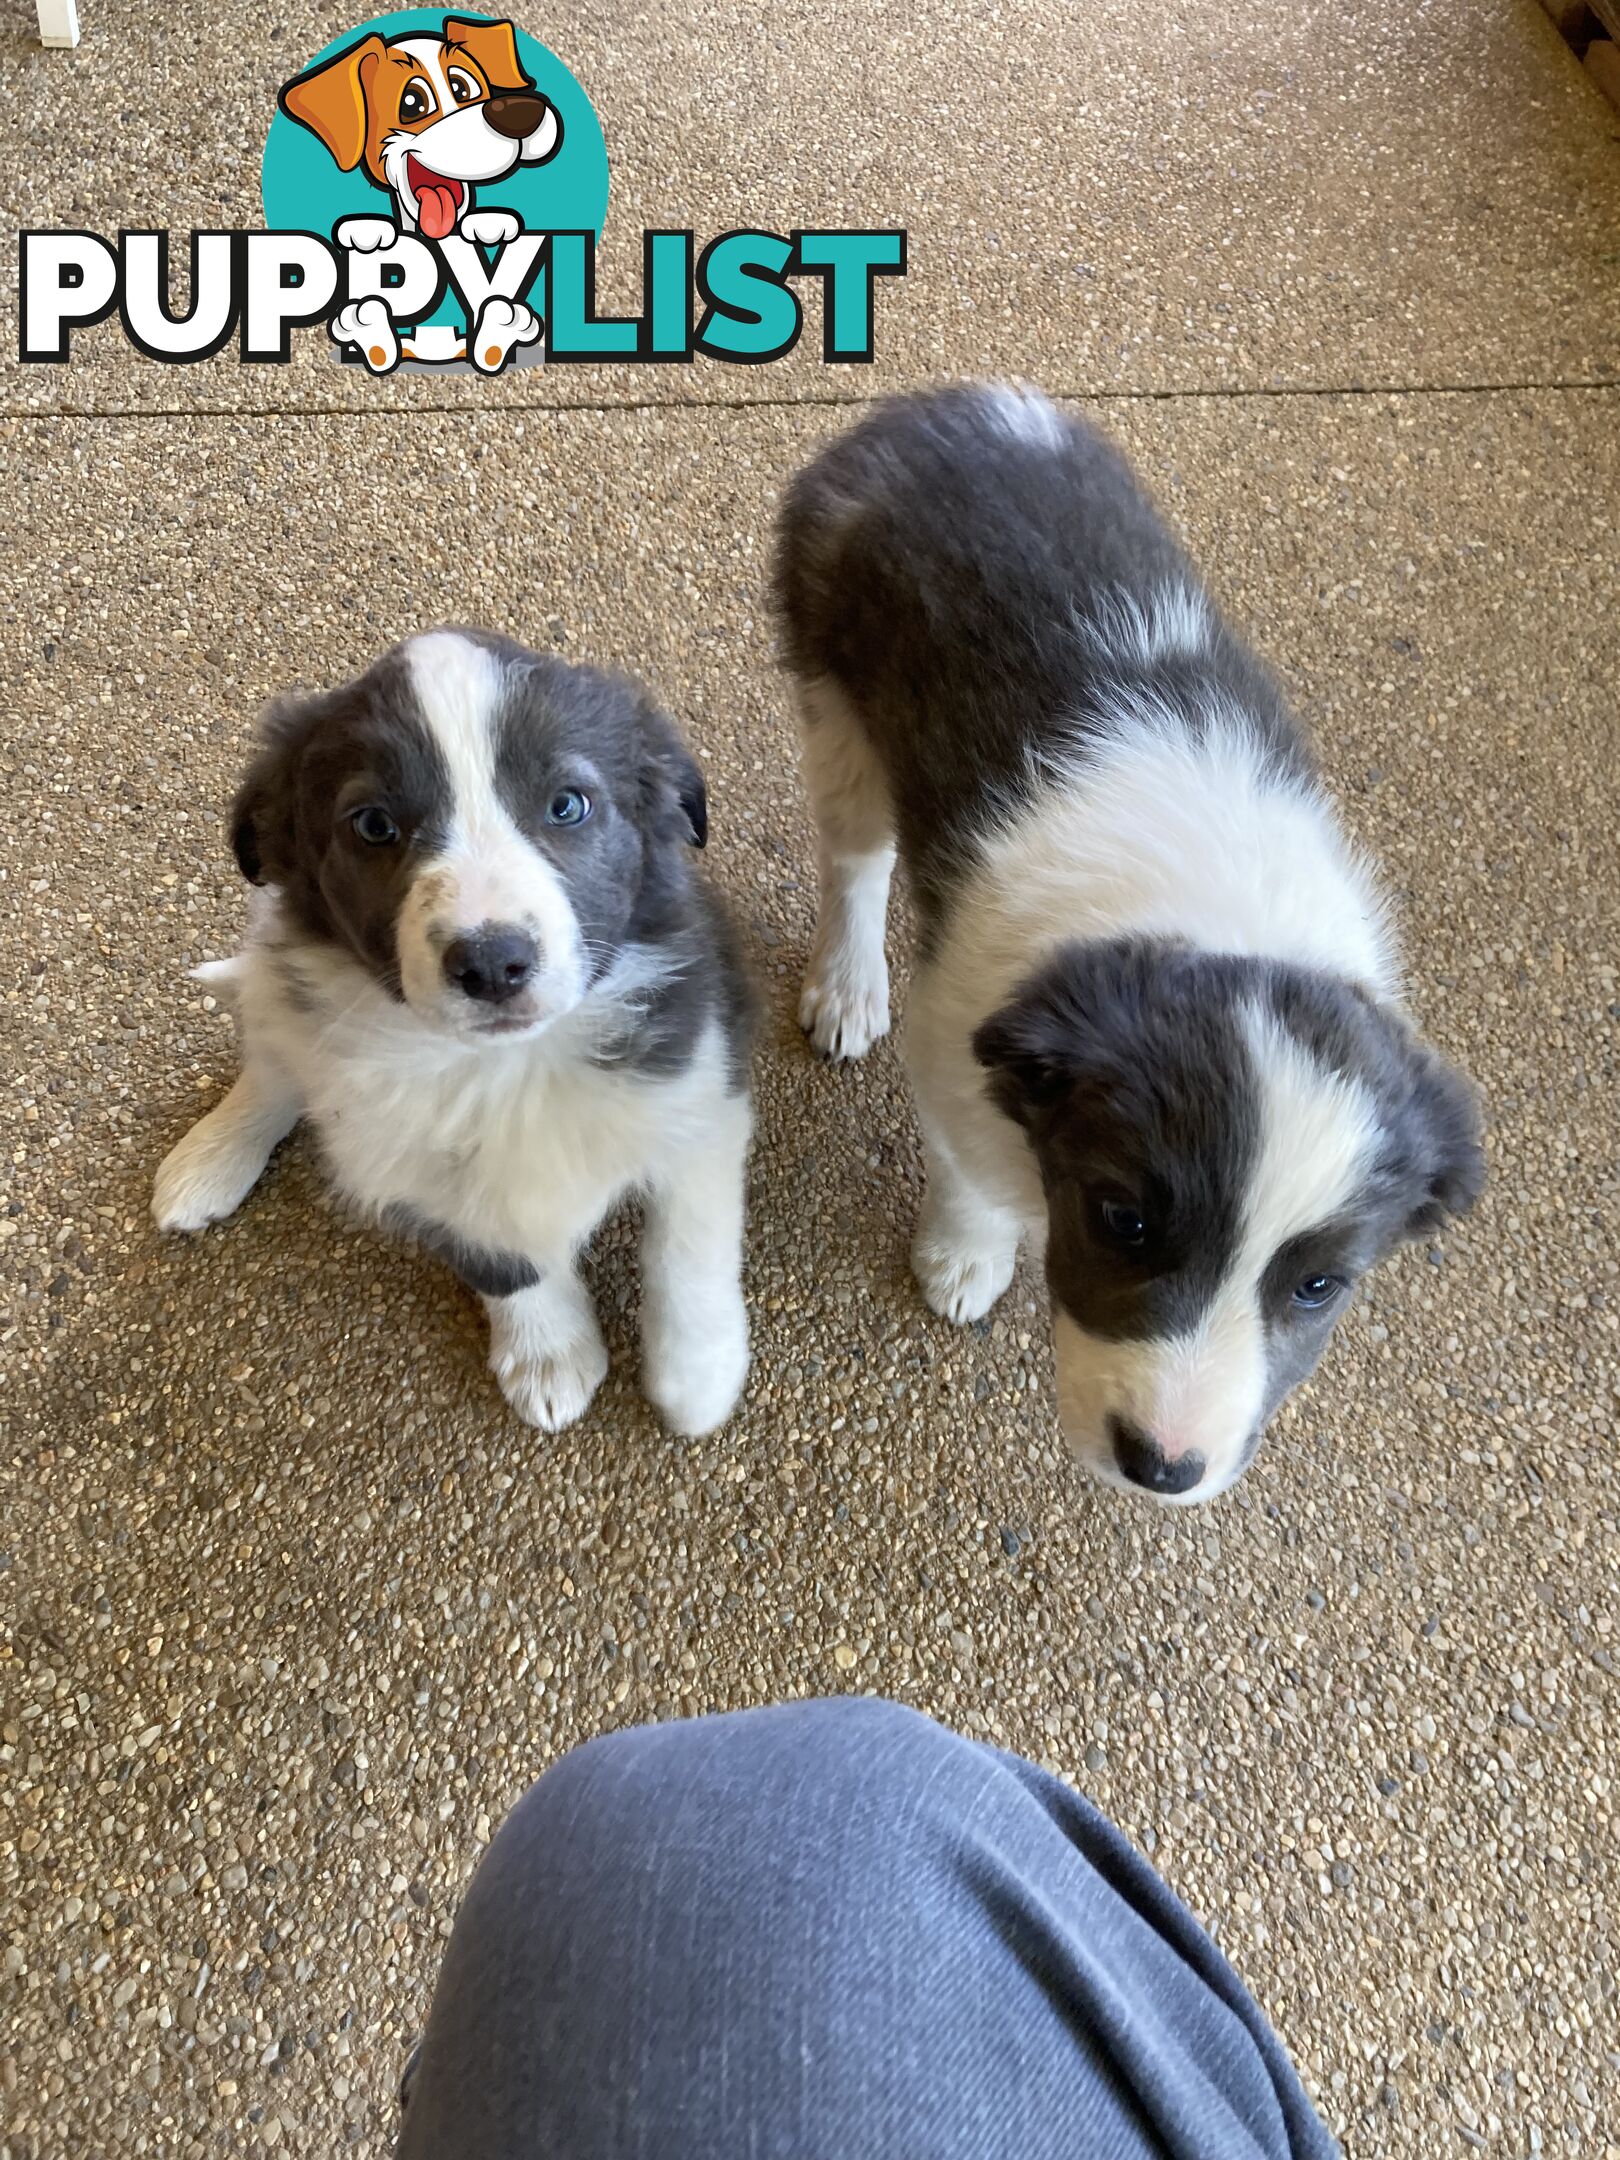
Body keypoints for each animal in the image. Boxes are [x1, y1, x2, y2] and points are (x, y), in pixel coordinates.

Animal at [152, 630, 756, 1442]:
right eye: (374, 825)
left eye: (568, 805)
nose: (492, 963)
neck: (503, 1067)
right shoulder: (414, 1169)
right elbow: (504, 1260)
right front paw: (549, 1354)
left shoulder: (698, 1090)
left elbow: (687, 1248)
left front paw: (698, 1379)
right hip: (281, 988)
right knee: (273, 1058)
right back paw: (208, 1161)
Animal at [781, 384, 1494, 1503]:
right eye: (1125, 1221)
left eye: (1319, 1286)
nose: (1164, 1468)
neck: (1215, 920)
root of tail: (942, 402)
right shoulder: (956, 1032)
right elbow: (971, 1169)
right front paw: (964, 1259)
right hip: (835, 696)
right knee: (854, 857)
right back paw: (848, 984)